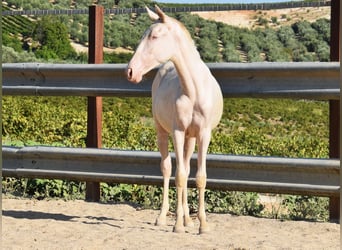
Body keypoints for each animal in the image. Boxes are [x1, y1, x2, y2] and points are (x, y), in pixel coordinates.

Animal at [127, 4, 223, 233]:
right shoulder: (177, 132)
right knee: (167, 168)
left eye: (154, 36)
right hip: (163, 133)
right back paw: (164, 217)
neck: (193, 90)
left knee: (186, 169)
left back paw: (189, 219)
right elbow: (178, 176)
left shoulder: (204, 134)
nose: (130, 71)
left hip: (191, 138)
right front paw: (178, 225)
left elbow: (199, 177)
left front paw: (202, 224)